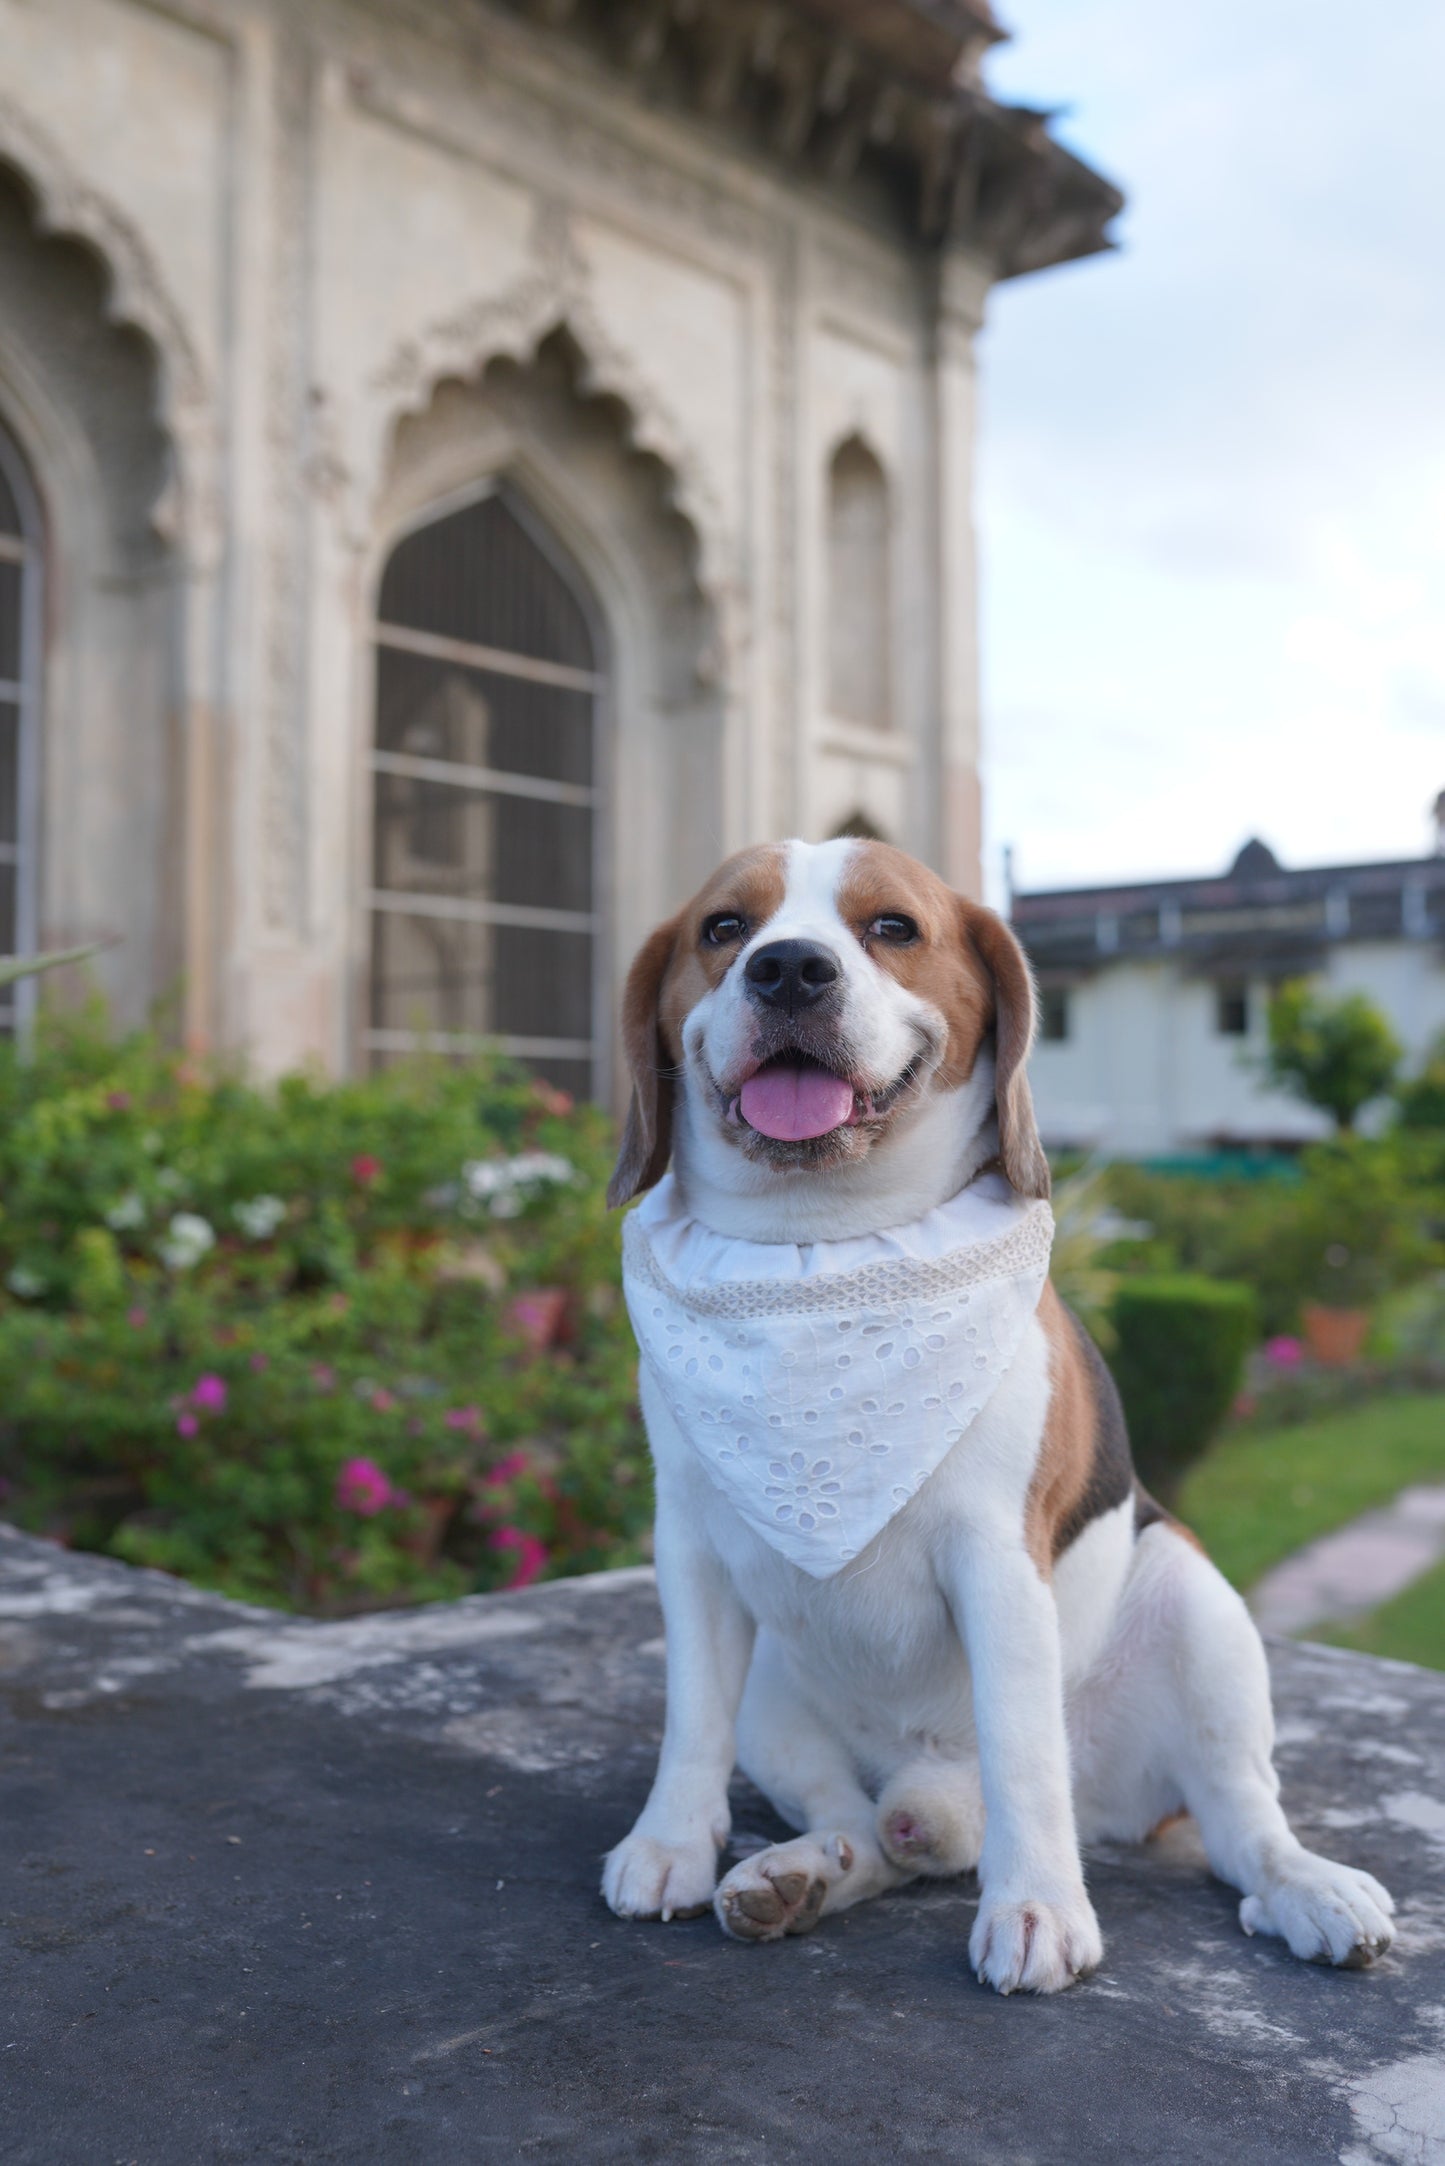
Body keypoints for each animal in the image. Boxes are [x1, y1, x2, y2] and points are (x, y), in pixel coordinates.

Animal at [597, 836, 1386, 1984]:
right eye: (722, 929)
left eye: (891, 928)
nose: (788, 970)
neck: (819, 1247)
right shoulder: (690, 1546)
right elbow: (688, 1715)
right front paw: (669, 1843)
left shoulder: (997, 1562)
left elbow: (1021, 1749)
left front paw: (1036, 1907)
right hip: (778, 1699)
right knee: (868, 1828)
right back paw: (805, 1873)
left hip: (1193, 1603)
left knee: (1240, 1822)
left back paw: (1307, 1889)